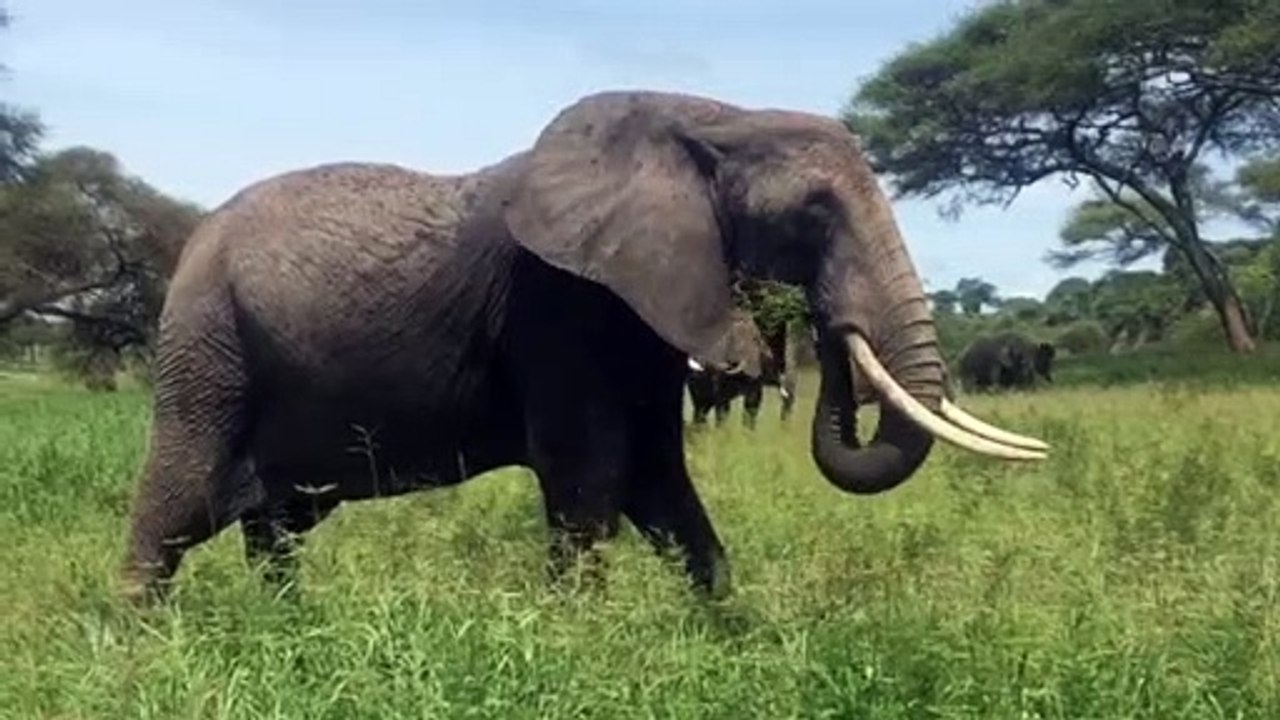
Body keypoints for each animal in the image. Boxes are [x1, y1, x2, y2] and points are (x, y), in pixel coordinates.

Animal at [118, 89, 1050, 606]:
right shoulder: (561, 309)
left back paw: (294, 631)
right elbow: (591, 484)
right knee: (176, 510)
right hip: (207, 350)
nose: (820, 328)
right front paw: (580, 649)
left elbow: (661, 486)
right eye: (811, 217)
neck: (710, 120)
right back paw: (141, 653)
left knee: (274, 528)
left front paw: (737, 640)